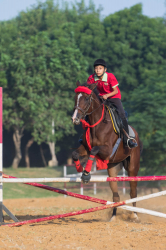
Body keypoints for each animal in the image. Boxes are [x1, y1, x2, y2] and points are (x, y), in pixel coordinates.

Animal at [71, 80, 143, 221]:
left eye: (86, 98)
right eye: (75, 98)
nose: (75, 119)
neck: (96, 124)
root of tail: (136, 134)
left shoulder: (107, 150)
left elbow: (94, 150)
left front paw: (86, 174)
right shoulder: (85, 148)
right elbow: (75, 153)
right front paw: (79, 169)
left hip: (132, 168)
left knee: (133, 192)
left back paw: (135, 215)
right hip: (112, 170)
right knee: (116, 196)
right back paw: (113, 217)